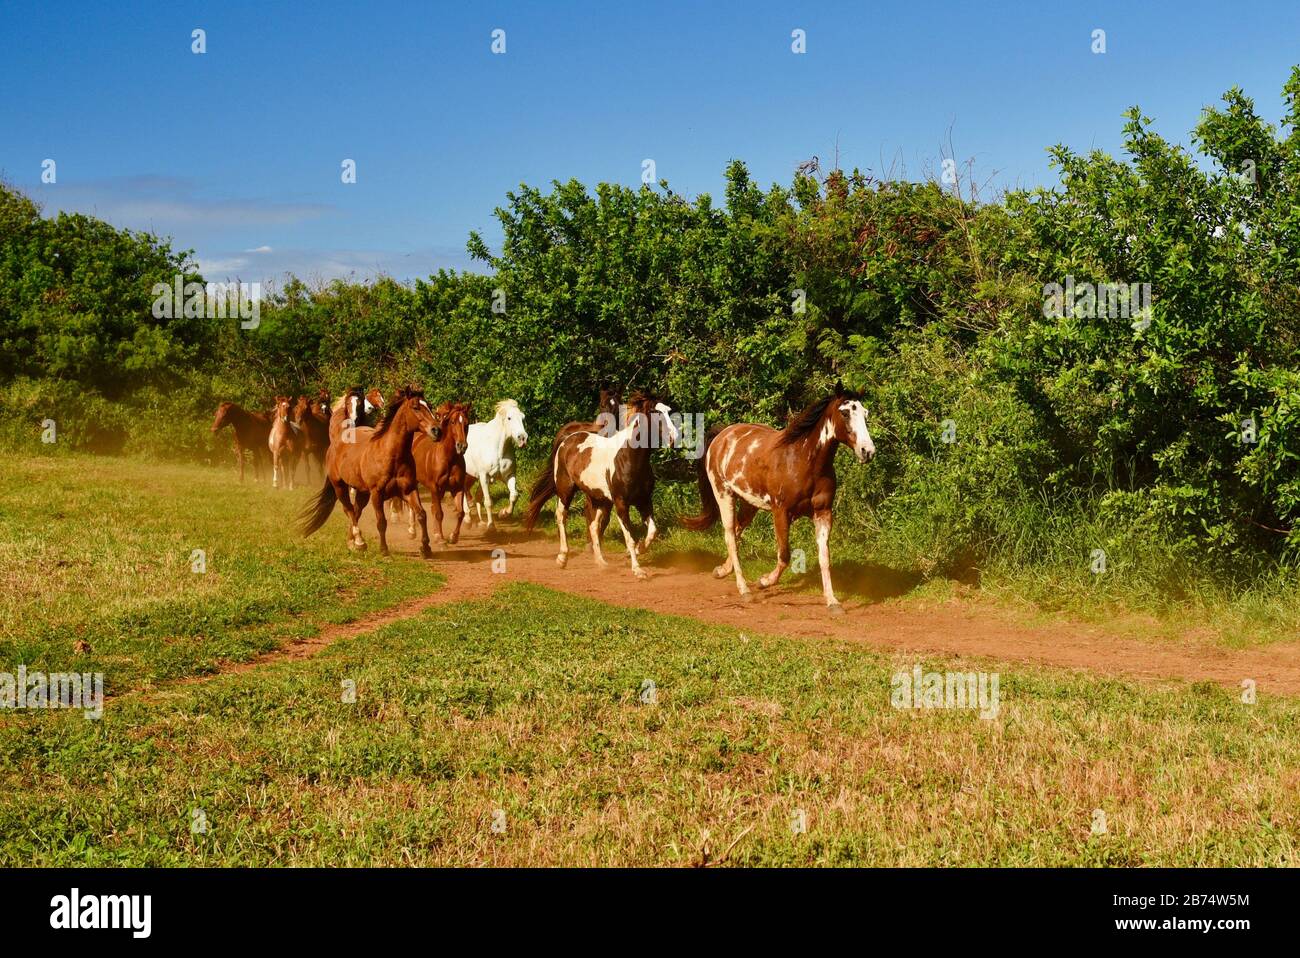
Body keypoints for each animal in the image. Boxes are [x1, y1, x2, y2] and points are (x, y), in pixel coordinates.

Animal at [299, 387, 443, 558]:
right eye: (416, 407)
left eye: (429, 406)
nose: (437, 430)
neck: (391, 454)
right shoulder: (377, 493)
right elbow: (381, 521)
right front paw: (384, 549)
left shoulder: (408, 490)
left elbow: (422, 514)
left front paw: (425, 548)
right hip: (340, 486)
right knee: (349, 510)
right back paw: (359, 541)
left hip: (362, 492)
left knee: (356, 510)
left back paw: (352, 542)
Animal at [410, 401, 472, 545]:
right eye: (453, 422)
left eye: (466, 423)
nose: (462, 446)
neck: (448, 458)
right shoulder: (435, 487)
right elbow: (439, 513)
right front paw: (440, 537)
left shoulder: (457, 488)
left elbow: (460, 513)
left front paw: (453, 537)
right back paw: (412, 531)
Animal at [461, 400, 529, 529]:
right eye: (509, 418)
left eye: (523, 417)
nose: (522, 438)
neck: (498, 449)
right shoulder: (484, 476)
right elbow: (488, 502)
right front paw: (491, 526)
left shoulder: (509, 475)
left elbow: (514, 496)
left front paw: (504, 513)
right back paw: (467, 519)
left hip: (473, 476)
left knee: (475, 494)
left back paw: (480, 521)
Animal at [523, 392, 678, 580]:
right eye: (656, 413)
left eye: (669, 411)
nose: (674, 438)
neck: (629, 457)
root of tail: (567, 439)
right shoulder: (621, 504)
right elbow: (629, 537)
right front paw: (638, 570)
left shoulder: (644, 501)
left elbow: (652, 531)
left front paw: (639, 549)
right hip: (566, 490)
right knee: (561, 516)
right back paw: (562, 558)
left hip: (599, 499)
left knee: (593, 525)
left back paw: (601, 563)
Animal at [680, 383, 875, 614]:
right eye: (845, 413)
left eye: (865, 413)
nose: (868, 451)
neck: (803, 461)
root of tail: (722, 435)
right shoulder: (781, 512)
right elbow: (784, 555)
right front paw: (764, 581)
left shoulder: (823, 513)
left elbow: (824, 558)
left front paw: (833, 602)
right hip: (724, 494)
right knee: (730, 536)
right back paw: (744, 589)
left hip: (749, 503)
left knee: (736, 531)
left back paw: (722, 570)